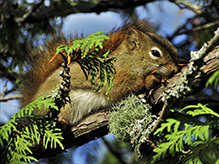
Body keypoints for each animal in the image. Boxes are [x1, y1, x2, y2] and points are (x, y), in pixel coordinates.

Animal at [20, 18, 178, 125]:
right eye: (155, 53)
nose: (175, 69)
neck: (129, 62)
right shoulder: (114, 78)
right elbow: (119, 90)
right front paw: (151, 79)